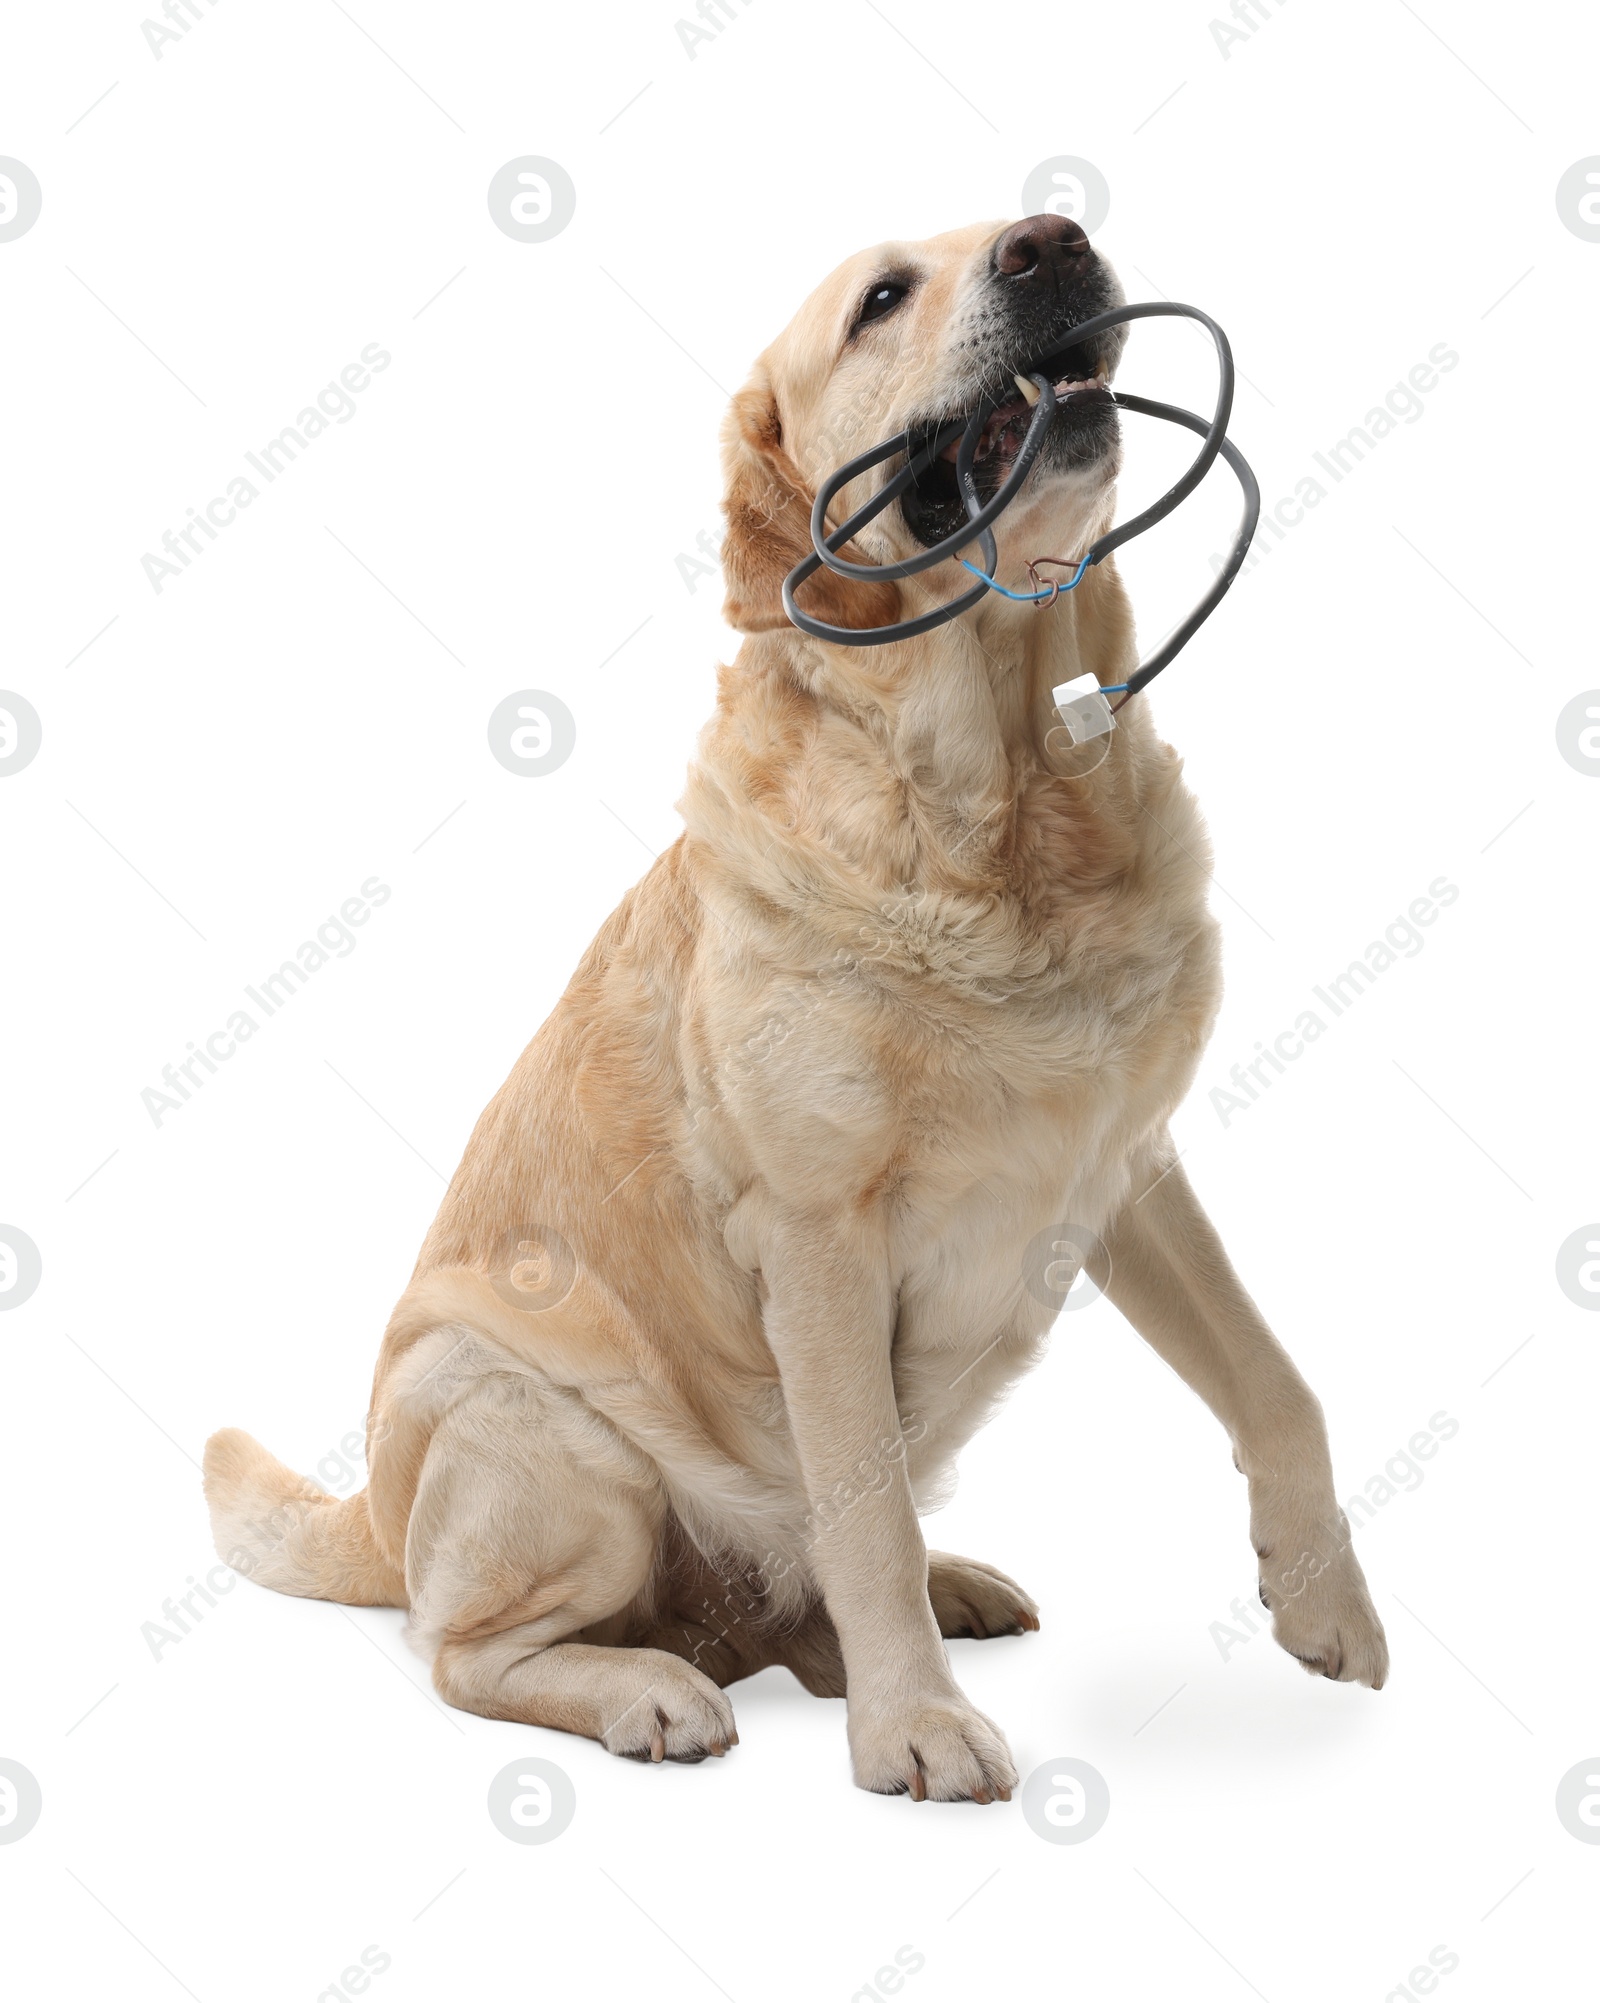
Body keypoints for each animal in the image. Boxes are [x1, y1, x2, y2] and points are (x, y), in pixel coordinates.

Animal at [209, 215, 1385, 1802]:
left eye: (1032, 222)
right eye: (883, 298)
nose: (1055, 238)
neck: (1005, 801)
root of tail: (375, 1517)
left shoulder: (1127, 1169)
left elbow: (1276, 1379)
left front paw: (1324, 1598)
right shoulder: (820, 1237)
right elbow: (863, 1506)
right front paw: (914, 1726)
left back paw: (928, 1597)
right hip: (536, 1427)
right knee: (465, 1650)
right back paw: (653, 1686)